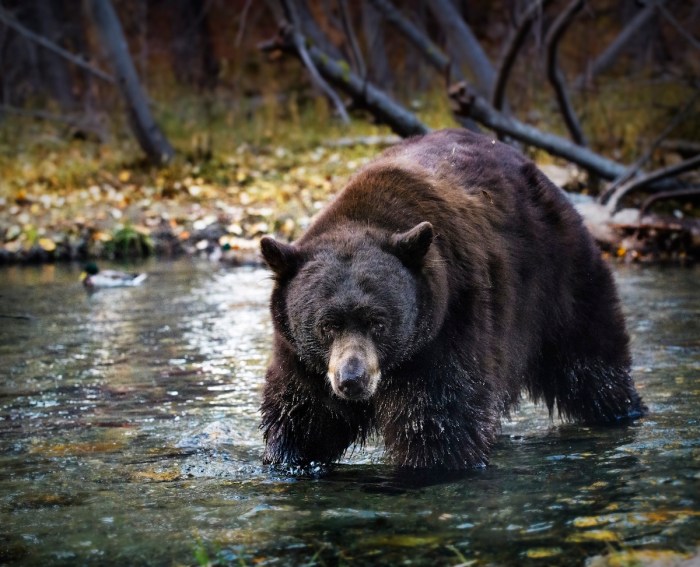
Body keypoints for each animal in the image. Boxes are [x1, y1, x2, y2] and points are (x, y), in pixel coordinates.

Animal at [259, 128, 646, 470]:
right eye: (327, 325)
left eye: (378, 323)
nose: (351, 379)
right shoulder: (303, 360)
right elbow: (304, 418)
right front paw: (289, 459)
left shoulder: (449, 326)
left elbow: (441, 421)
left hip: (559, 279)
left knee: (590, 360)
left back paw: (623, 409)